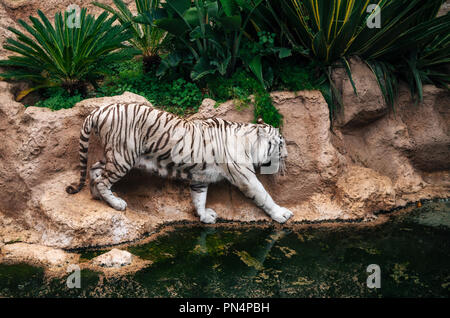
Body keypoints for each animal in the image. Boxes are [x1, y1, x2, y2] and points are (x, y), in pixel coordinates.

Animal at [65, 103, 294, 224]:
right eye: (281, 144)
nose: (287, 155)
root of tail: (101, 109)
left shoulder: (201, 177)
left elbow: (199, 198)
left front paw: (205, 216)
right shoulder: (245, 176)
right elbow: (263, 194)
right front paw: (281, 214)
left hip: (114, 155)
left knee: (95, 169)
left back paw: (98, 196)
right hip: (123, 156)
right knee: (103, 179)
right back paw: (116, 203)